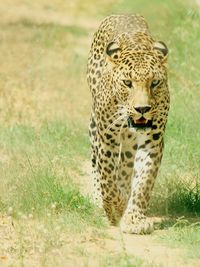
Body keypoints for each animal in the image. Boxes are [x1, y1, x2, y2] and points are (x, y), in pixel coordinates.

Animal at [86, 14, 170, 234]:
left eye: (155, 83)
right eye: (127, 83)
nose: (142, 108)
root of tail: (122, 13)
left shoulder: (152, 141)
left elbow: (143, 181)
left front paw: (134, 219)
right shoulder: (107, 138)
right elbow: (107, 178)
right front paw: (114, 208)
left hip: (130, 143)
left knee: (125, 166)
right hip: (94, 128)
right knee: (96, 164)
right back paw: (100, 197)